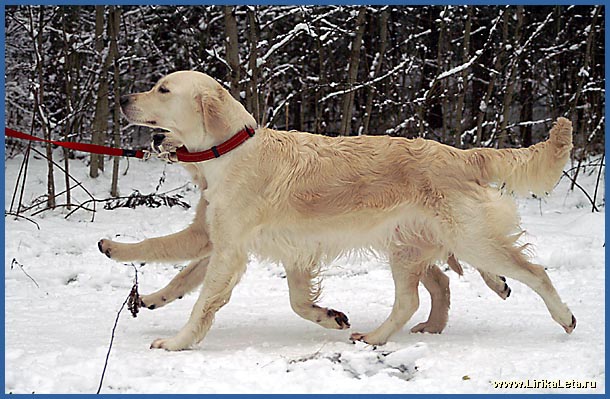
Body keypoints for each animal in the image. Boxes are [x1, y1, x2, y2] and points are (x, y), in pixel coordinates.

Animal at [98, 70, 568, 352]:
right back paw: (399, 332)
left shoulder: (231, 249)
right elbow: (175, 265)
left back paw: (563, 317)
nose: (121, 98)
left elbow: (201, 298)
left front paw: (176, 342)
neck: (230, 150)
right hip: (411, 245)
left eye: (162, 89)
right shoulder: (232, 239)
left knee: (532, 273)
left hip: (465, 238)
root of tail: (462, 154)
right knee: (428, 291)